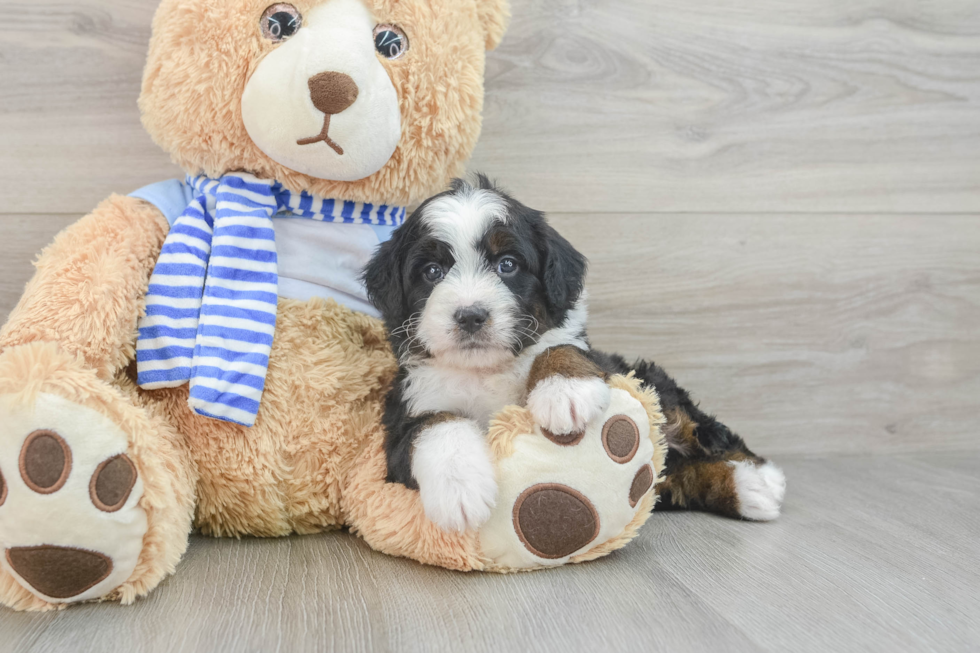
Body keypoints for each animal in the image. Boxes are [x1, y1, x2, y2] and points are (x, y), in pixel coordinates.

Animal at [364, 176, 784, 532]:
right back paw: (745, 488)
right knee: (677, 476)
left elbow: (560, 346)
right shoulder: (407, 410)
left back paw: (759, 479)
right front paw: (460, 489)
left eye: (507, 264)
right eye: (432, 271)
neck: (486, 370)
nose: (470, 315)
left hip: (655, 387)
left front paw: (564, 392)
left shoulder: (598, 359)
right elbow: (438, 425)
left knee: (702, 430)